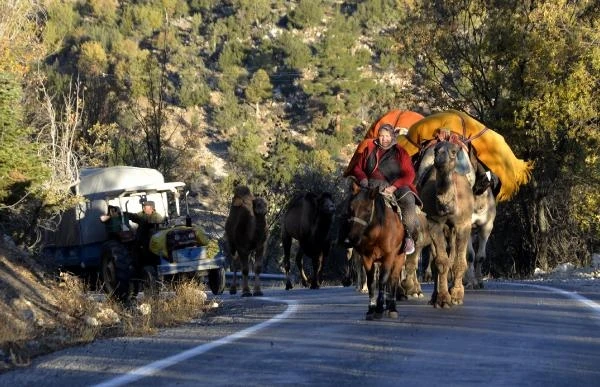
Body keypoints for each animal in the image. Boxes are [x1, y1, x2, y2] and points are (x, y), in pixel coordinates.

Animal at [418, 142, 474, 310]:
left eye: (454, 152)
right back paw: (434, 297)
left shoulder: (463, 223)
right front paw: (443, 299)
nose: (440, 157)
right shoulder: (434, 222)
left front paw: (456, 295)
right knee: (437, 260)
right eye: (436, 150)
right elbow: (441, 263)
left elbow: (459, 262)